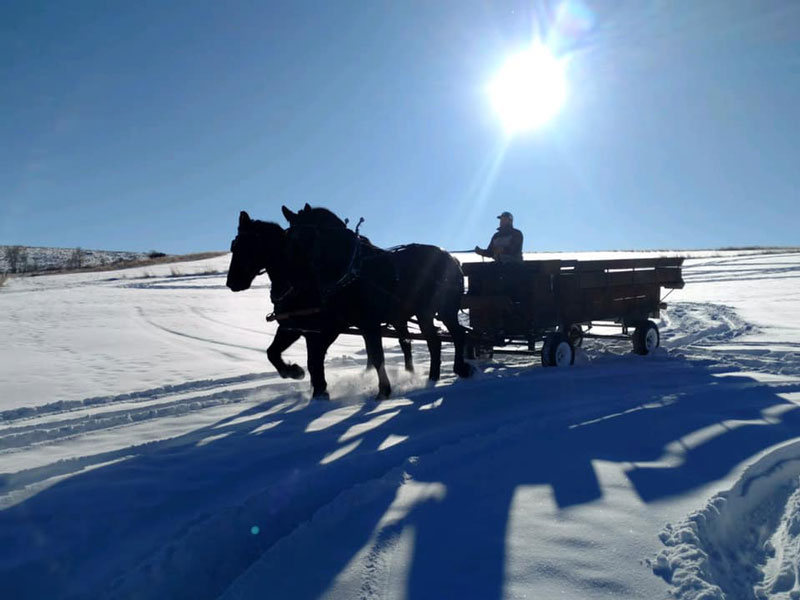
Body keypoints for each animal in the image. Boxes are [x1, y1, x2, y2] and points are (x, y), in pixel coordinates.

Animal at [223, 211, 412, 398]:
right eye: (234, 247)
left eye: (248, 246)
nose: (232, 282)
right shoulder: (293, 328)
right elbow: (273, 353)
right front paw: (296, 372)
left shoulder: (326, 329)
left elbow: (314, 361)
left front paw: (319, 391)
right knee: (401, 343)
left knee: (400, 344)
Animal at [280, 205, 472, 398]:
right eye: (289, 239)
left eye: (309, 237)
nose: (294, 282)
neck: (352, 270)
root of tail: (452, 259)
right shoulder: (347, 325)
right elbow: (326, 356)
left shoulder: (370, 323)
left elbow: (378, 356)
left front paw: (384, 390)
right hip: (423, 313)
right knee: (435, 341)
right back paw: (432, 378)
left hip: (445, 309)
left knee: (457, 334)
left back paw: (459, 369)